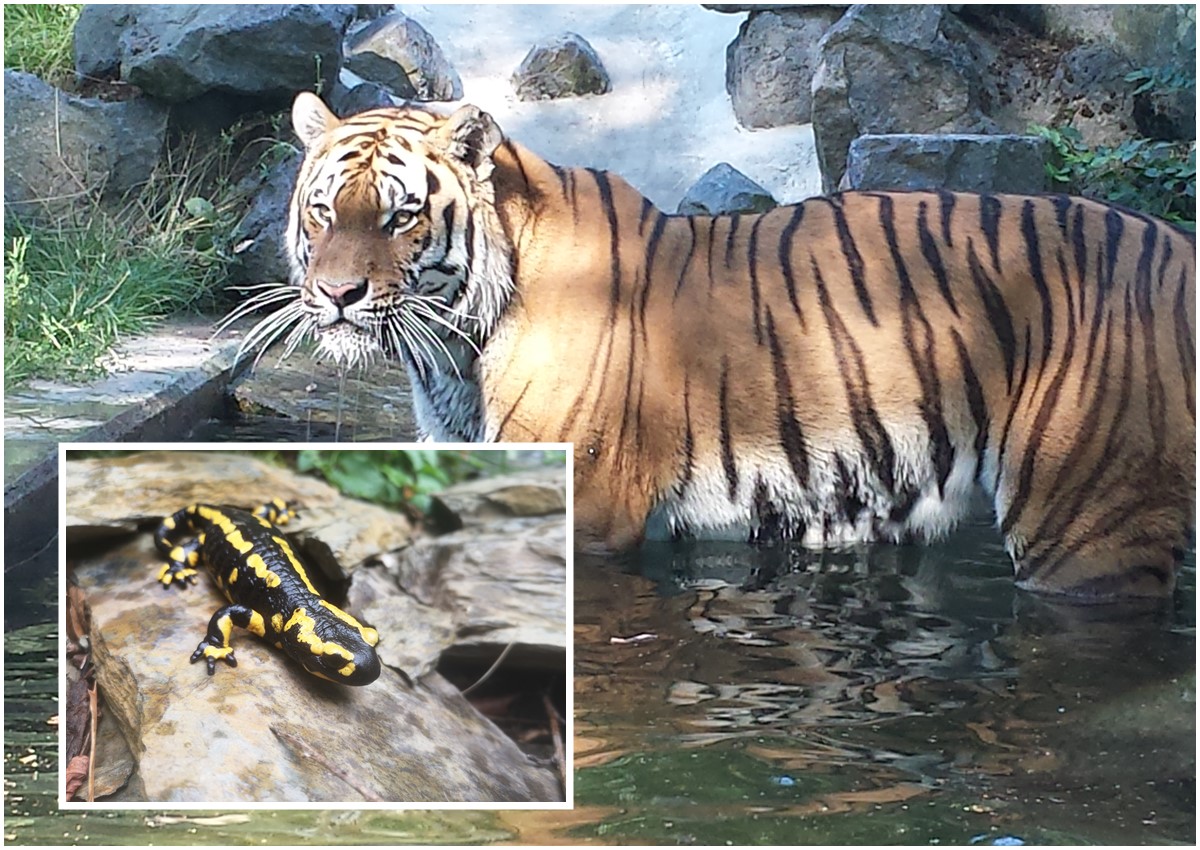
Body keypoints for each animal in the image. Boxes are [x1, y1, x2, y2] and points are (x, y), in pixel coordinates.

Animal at [238, 91, 1195, 597]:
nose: (336, 295)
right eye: (322, 213)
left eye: (399, 217)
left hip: (1088, 522)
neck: (451, 346)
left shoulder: (594, 514)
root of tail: (1174, 248)